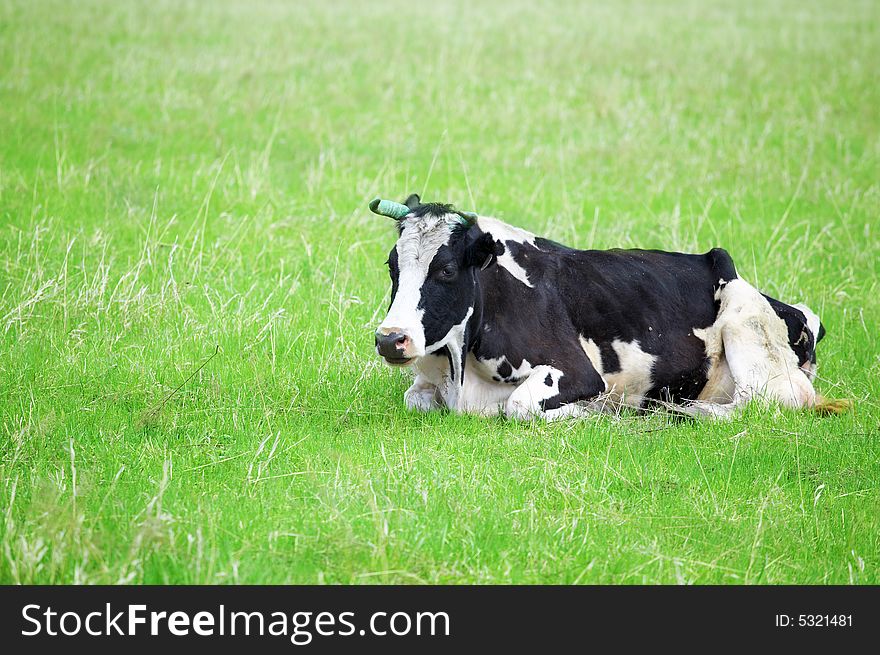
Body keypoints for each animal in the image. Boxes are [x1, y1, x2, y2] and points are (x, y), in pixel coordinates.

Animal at [370, 195, 844, 420]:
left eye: (447, 269)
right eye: (392, 266)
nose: (391, 339)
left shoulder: (577, 372)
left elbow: (519, 406)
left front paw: (589, 414)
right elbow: (415, 397)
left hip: (748, 327)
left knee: (768, 401)